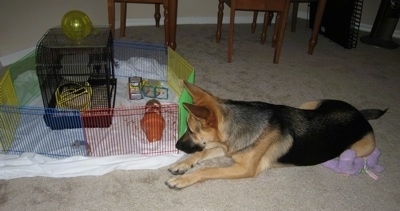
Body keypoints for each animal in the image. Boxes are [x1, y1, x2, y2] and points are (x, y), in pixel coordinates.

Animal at [164, 81, 386, 190]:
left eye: (191, 130)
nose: (176, 146)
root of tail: (359, 114)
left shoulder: (244, 168)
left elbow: (209, 170)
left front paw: (183, 179)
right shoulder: (229, 149)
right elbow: (201, 153)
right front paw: (183, 164)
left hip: (363, 148)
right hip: (309, 104)